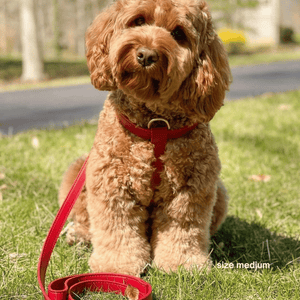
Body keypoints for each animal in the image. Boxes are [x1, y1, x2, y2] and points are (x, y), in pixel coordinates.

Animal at [59, 0, 232, 276]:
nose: (147, 55)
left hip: (221, 192)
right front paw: (116, 266)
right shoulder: (111, 183)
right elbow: (116, 228)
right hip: (77, 173)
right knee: (85, 219)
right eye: (138, 21)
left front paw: (182, 263)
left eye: (178, 33)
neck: (155, 126)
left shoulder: (193, 188)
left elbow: (183, 228)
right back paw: (79, 235)